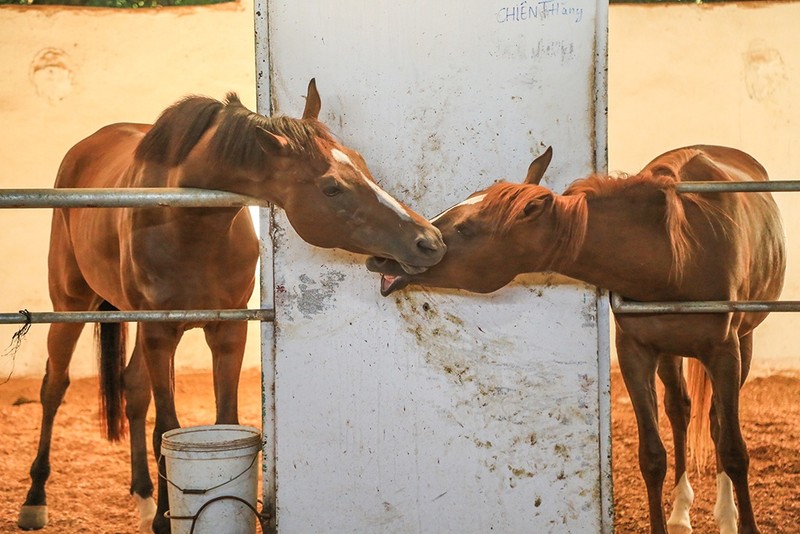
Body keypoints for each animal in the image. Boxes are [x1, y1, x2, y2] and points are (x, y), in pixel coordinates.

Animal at [20, 79, 444, 534]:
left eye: (362, 164)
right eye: (332, 187)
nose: (429, 241)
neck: (188, 223)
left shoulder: (228, 330)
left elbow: (223, 417)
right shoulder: (160, 331)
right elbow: (166, 428)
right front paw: (167, 522)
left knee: (132, 391)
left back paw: (144, 498)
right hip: (71, 304)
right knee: (54, 387)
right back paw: (35, 499)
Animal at [368, 146, 788, 534]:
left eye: (466, 228)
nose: (382, 256)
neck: (674, 256)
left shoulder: (724, 352)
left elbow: (733, 449)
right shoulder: (635, 353)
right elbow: (652, 457)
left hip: (742, 344)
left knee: (715, 422)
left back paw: (726, 515)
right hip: (671, 353)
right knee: (680, 410)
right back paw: (681, 511)